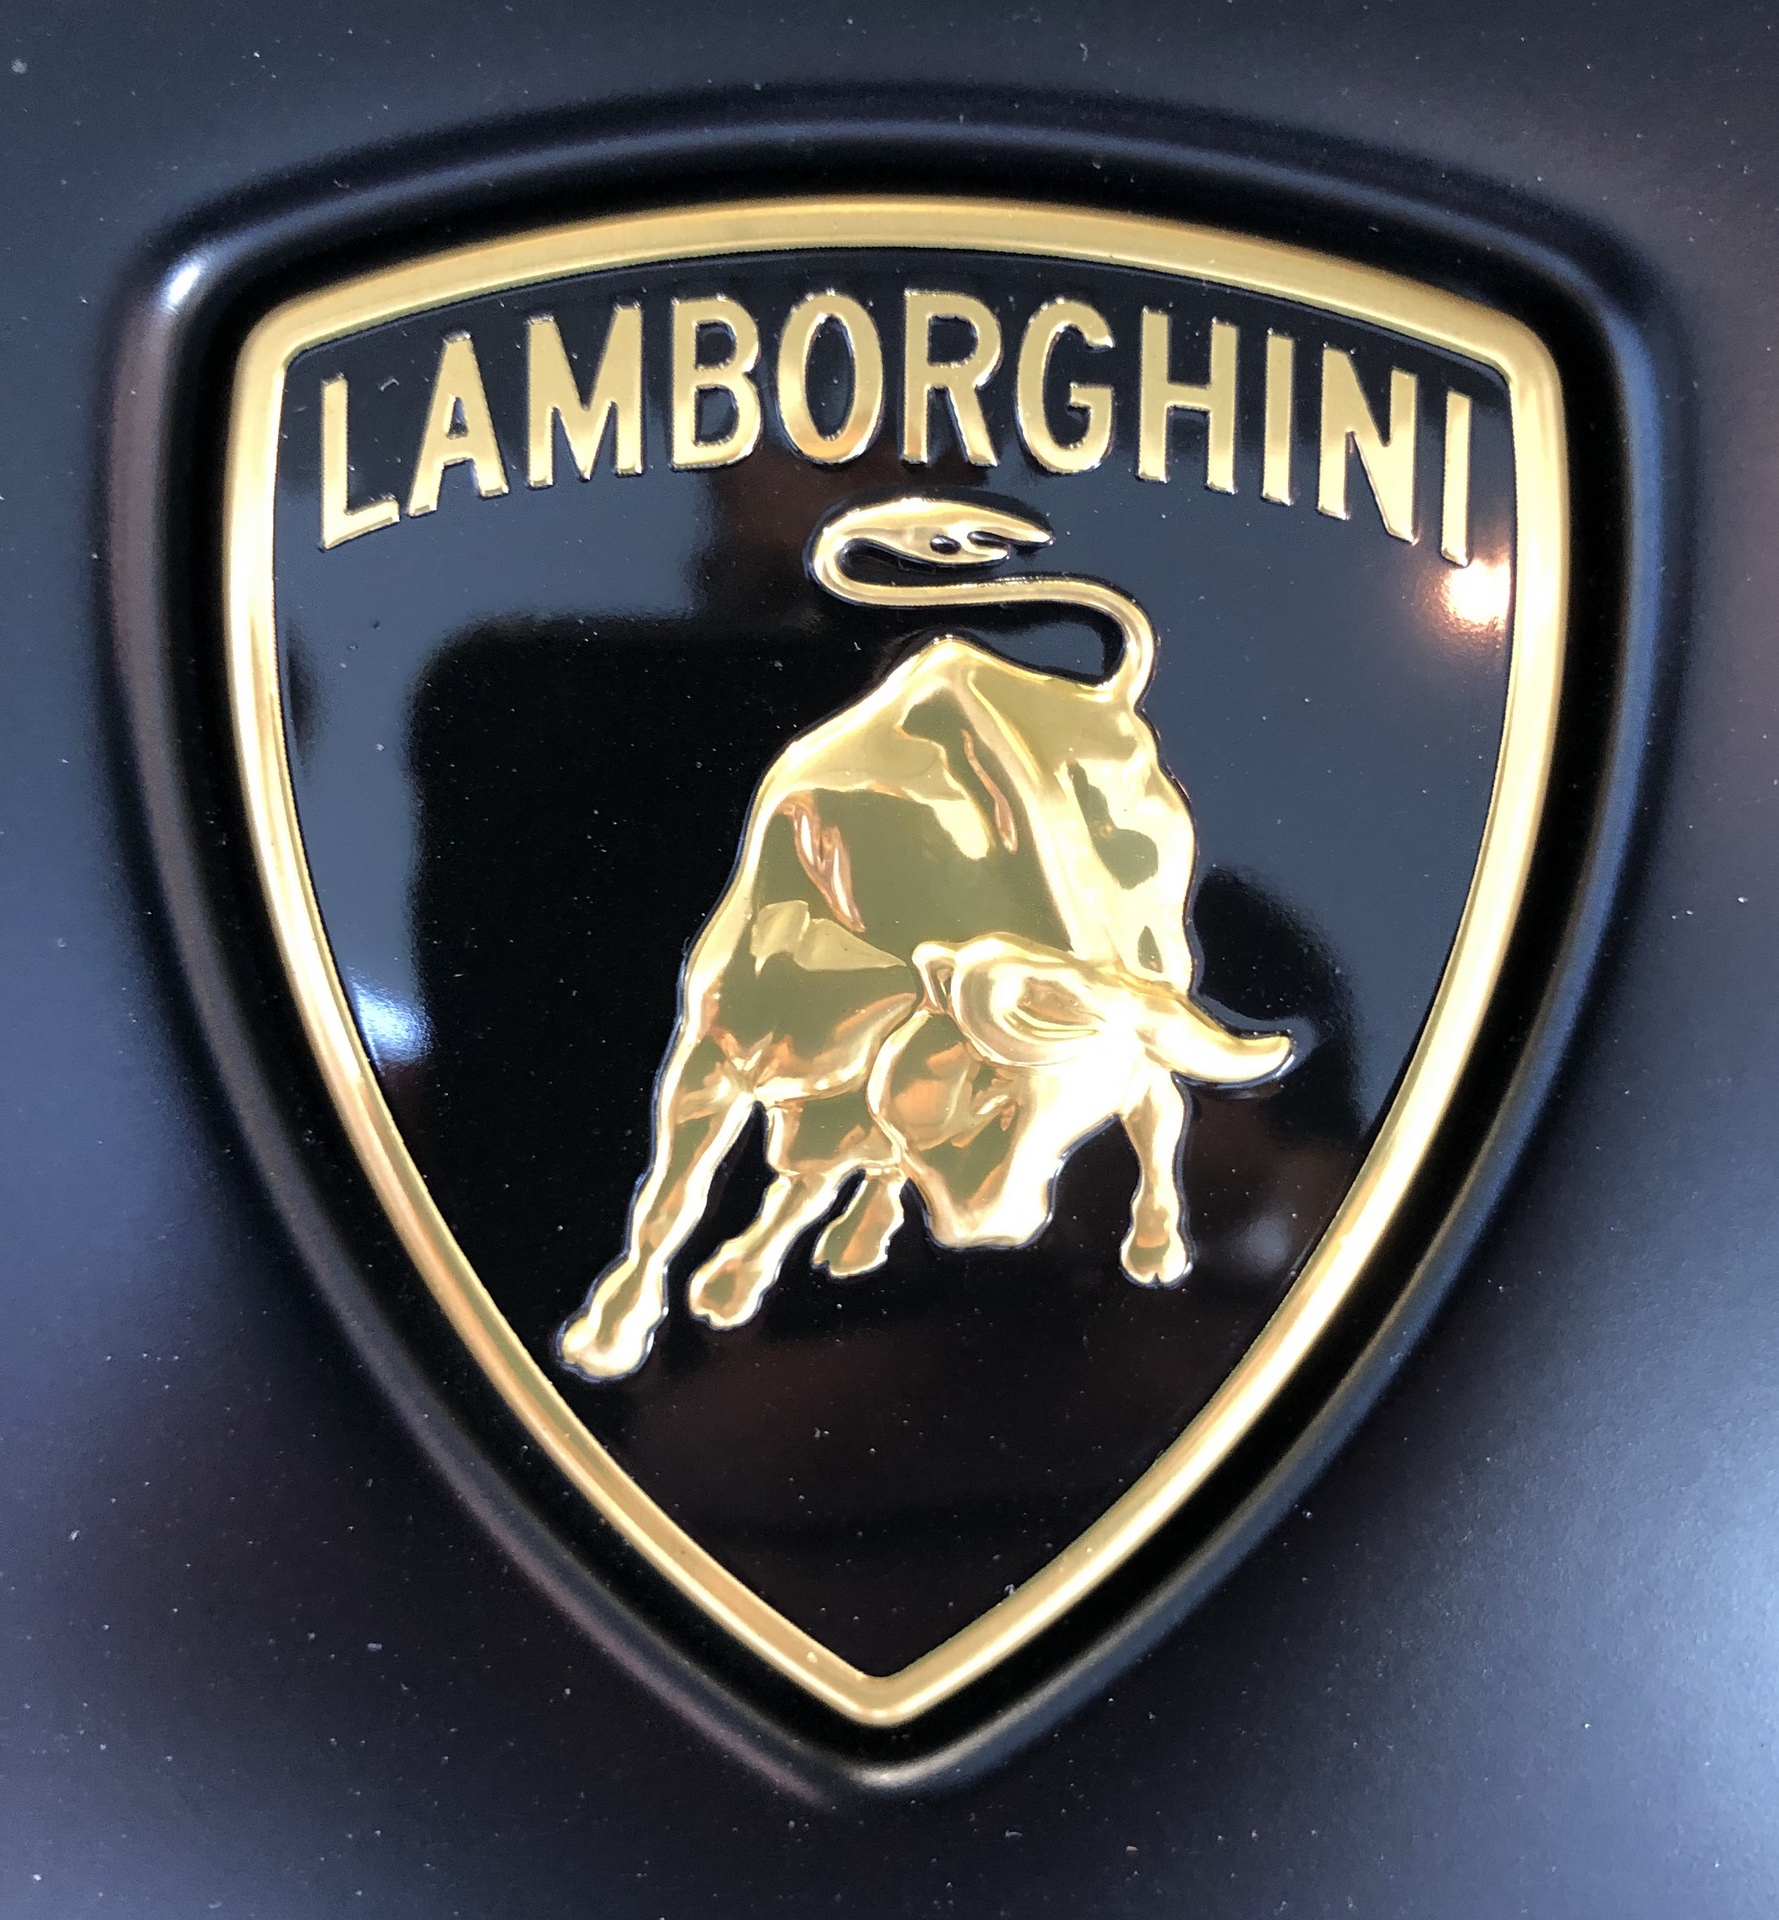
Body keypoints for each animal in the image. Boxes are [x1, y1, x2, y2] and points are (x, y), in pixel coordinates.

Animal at [558, 495, 1295, 1381]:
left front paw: (728, 1287)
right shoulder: (708, 1054)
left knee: (1160, 1110)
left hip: (1159, 977)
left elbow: (804, 1185)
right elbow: (671, 1200)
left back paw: (1153, 1250)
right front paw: (607, 1338)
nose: (999, 1232)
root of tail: (1107, 704)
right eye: (990, 1093)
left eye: (1074, 1126)